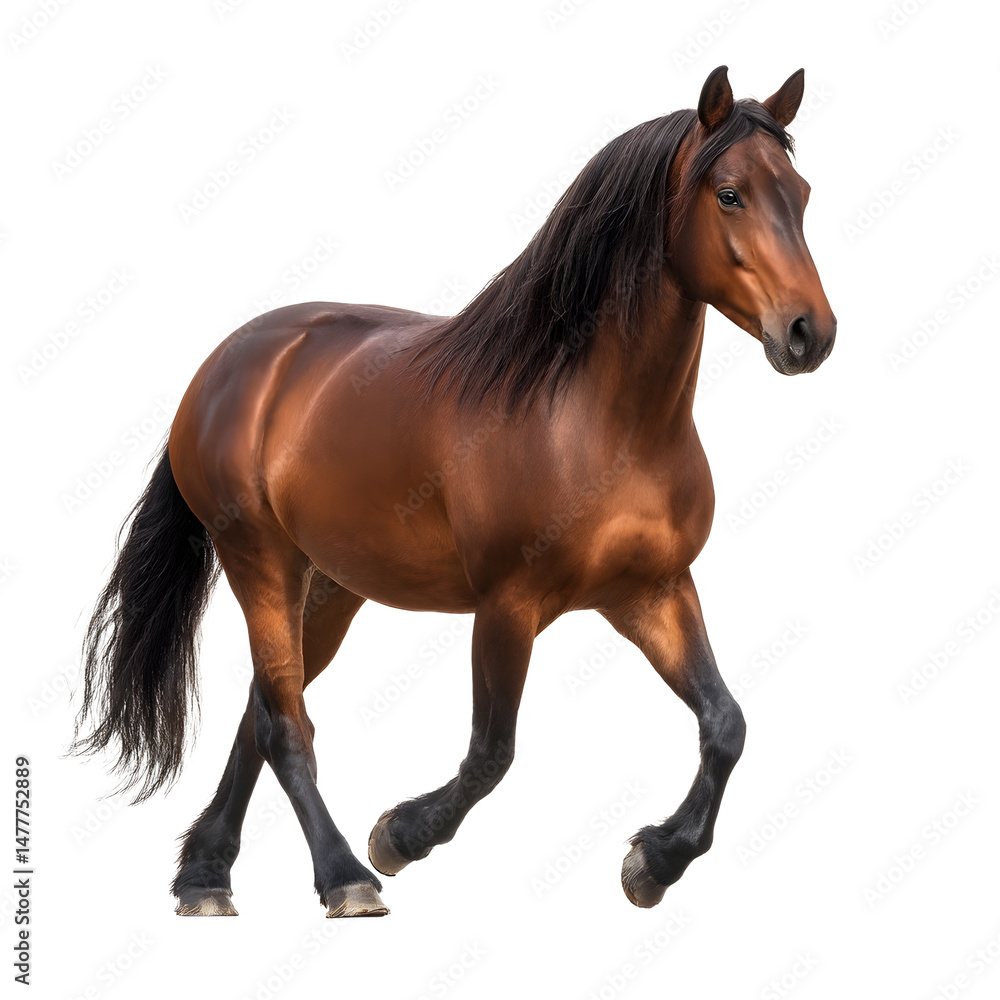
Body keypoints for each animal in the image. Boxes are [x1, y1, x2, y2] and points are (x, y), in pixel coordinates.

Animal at [73, 65, 836, 918]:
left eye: (800, 193)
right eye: (730, 194)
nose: (809, 333)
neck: (595, 417)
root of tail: (223, 364)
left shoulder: (652, 591)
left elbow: (726, 724)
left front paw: (655, 862)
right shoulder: (509, 606)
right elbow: (490, 754)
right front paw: (400, 835)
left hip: (330, 586)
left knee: (264, 707)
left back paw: (205, 875)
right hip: (259, 562)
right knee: (285, 727)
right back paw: (344, 876)